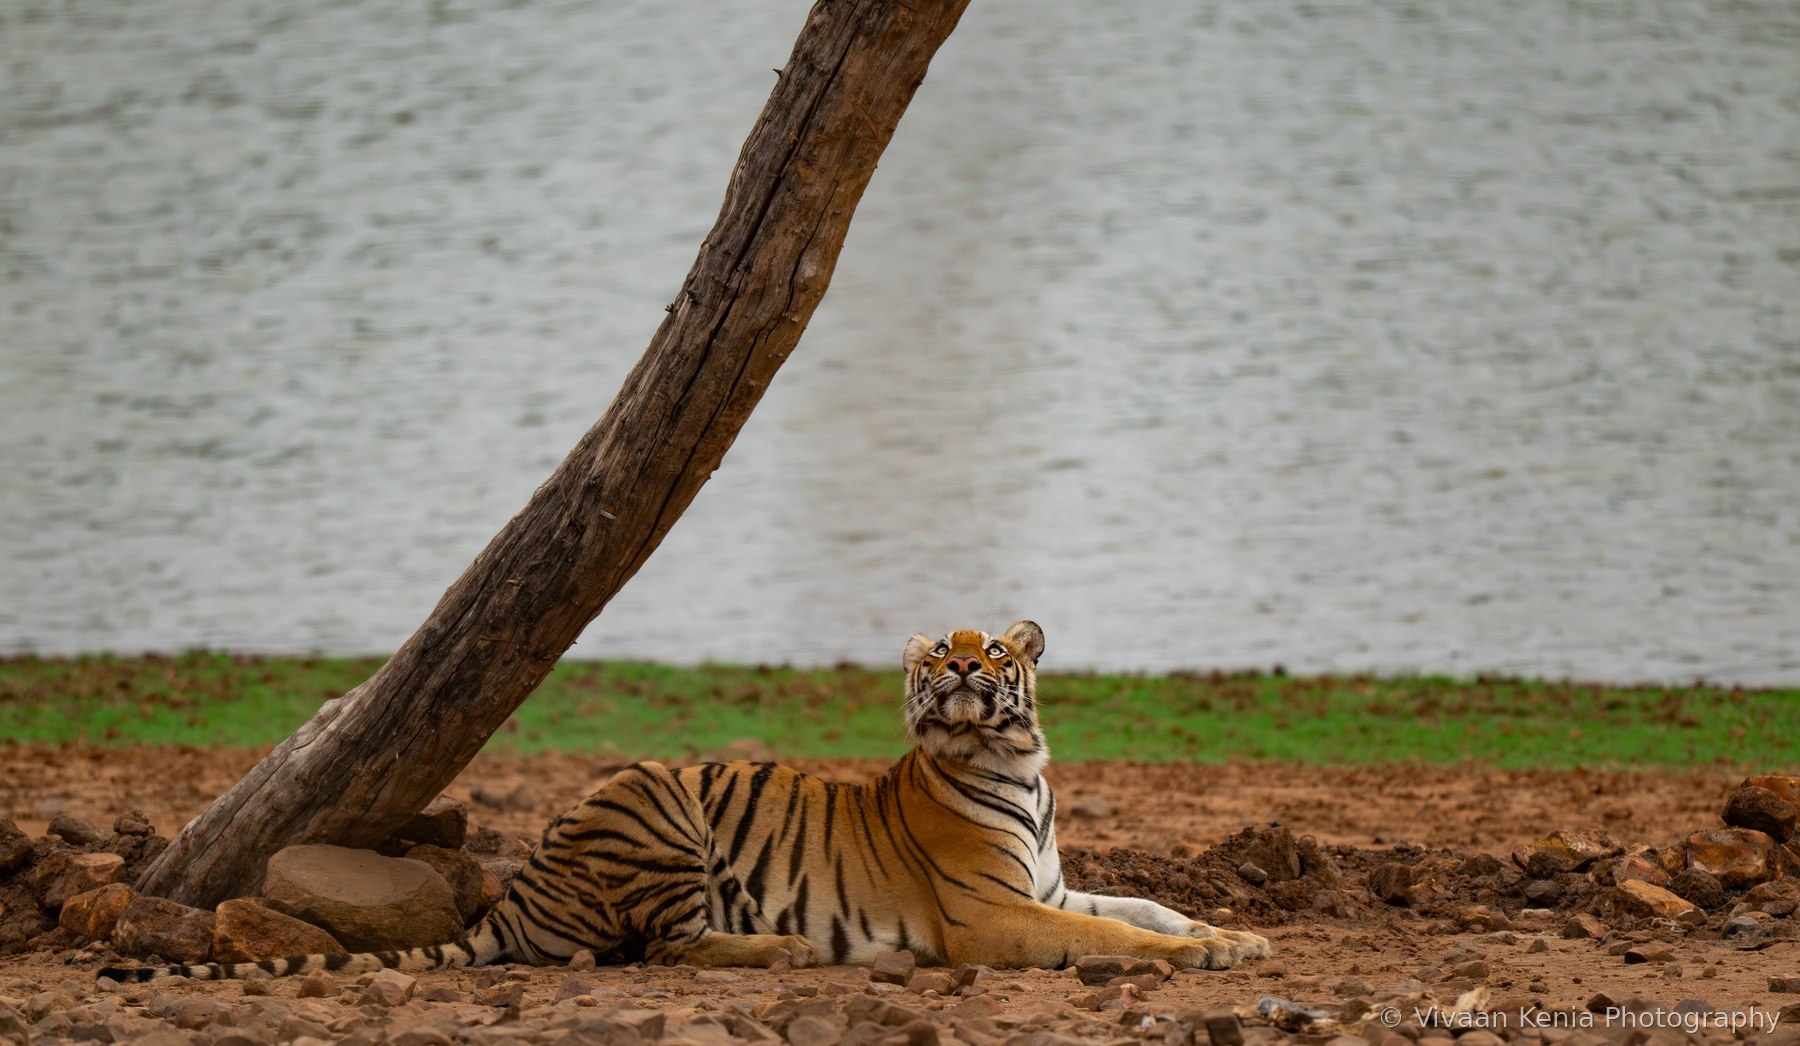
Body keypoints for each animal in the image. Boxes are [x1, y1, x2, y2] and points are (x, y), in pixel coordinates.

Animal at [101, 620, 1268, 983]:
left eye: (992, 649)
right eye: (942, 649)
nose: (966, 669)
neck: (1018, 766)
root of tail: (516, 895)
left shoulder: (1052, 888)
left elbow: (1149, 908)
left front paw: (1235, 938)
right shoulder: (991, 915)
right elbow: (1117, 936)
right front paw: (1204, 957)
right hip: (662, 802)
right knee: (665, 946)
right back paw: (791, 951)